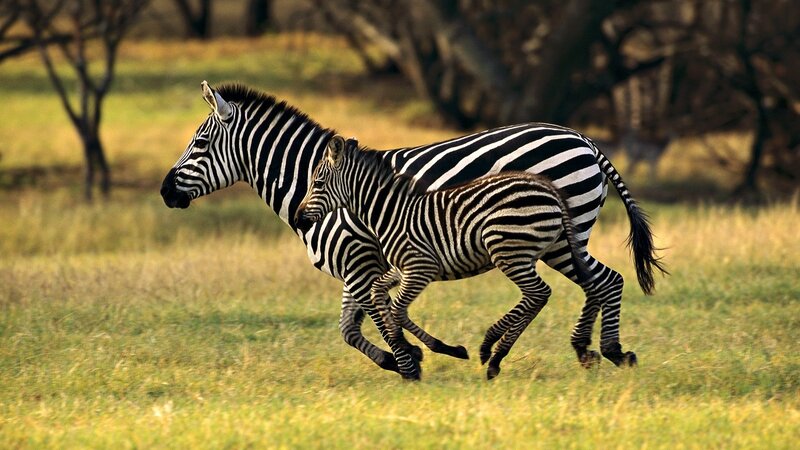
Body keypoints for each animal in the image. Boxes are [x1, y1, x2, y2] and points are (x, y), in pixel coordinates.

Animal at [295, 135, 593, 379]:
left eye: (317, 183)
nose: (298, 219)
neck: (391, 214)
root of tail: (548, 189)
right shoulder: (401, 269)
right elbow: (379, 294)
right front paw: (408, 348)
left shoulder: (420, 267)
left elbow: (397, 309)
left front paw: (412, 351)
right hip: (524, 253)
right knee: (540, 295)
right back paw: (496, 355)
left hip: (508, 250)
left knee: (539, 293)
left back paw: (491, 349)